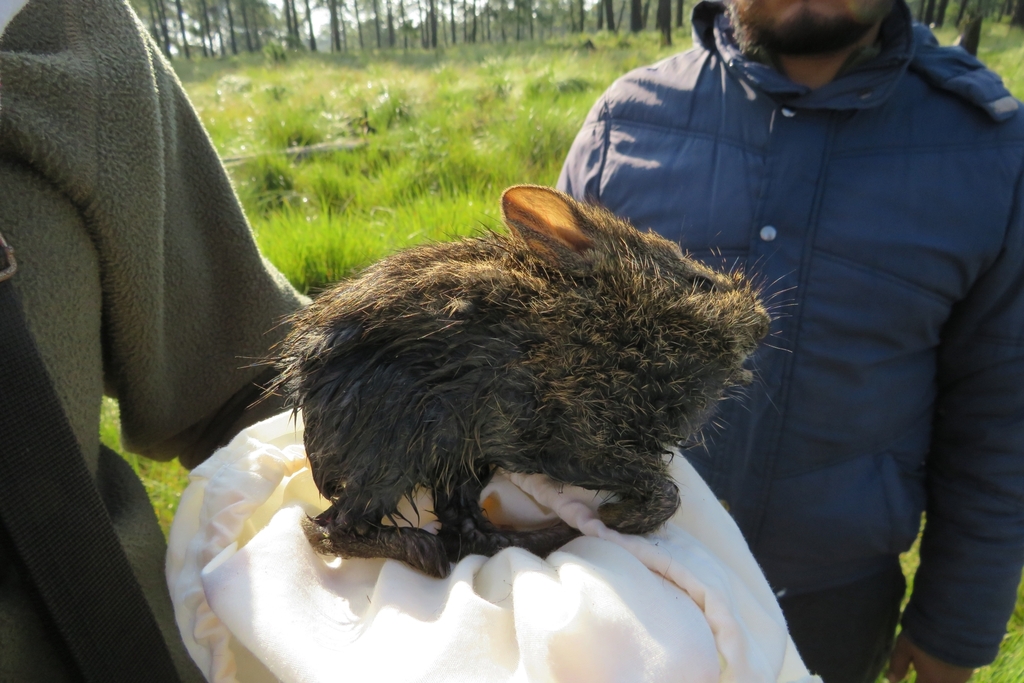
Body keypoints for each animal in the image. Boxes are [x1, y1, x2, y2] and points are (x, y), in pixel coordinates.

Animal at [271, 185, 770, 579]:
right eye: (701, 283)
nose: (764, 324)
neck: (620, 320)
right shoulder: (575, 435)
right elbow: (661, 488)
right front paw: (617, 516)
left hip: (459, 455)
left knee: (461, 523)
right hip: (397, 443)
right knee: (329, 530)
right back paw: (426, 552)